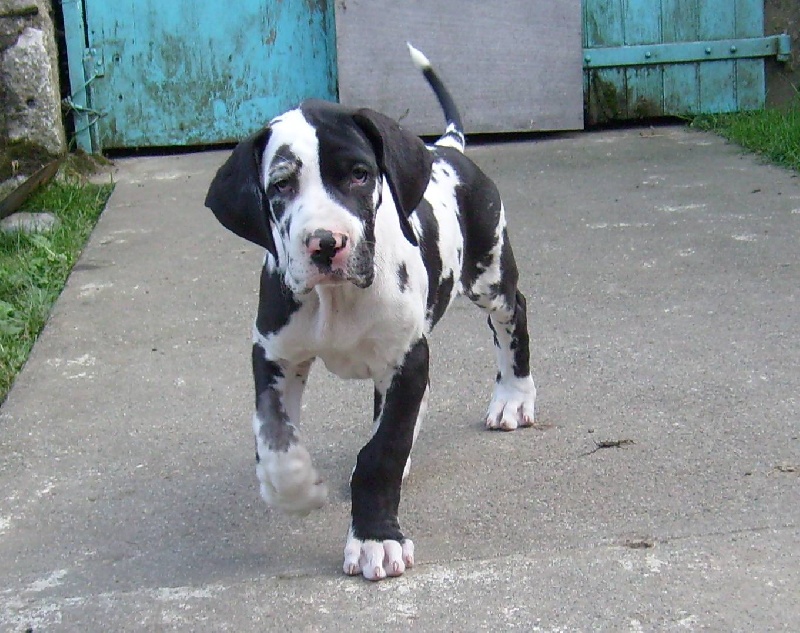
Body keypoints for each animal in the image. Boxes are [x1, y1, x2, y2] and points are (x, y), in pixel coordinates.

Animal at [205, 43, 536, 576]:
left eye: (359, 174)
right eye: (280, 185)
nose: (325, 244)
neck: (336, 300)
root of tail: (447, 148)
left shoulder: (407, 357)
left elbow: (379, 454)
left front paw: (375, 538)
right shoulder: (274, 353)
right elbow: (273, 435)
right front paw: (295, 486)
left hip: (489, 274)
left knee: (513, 316)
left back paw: (514, 398)